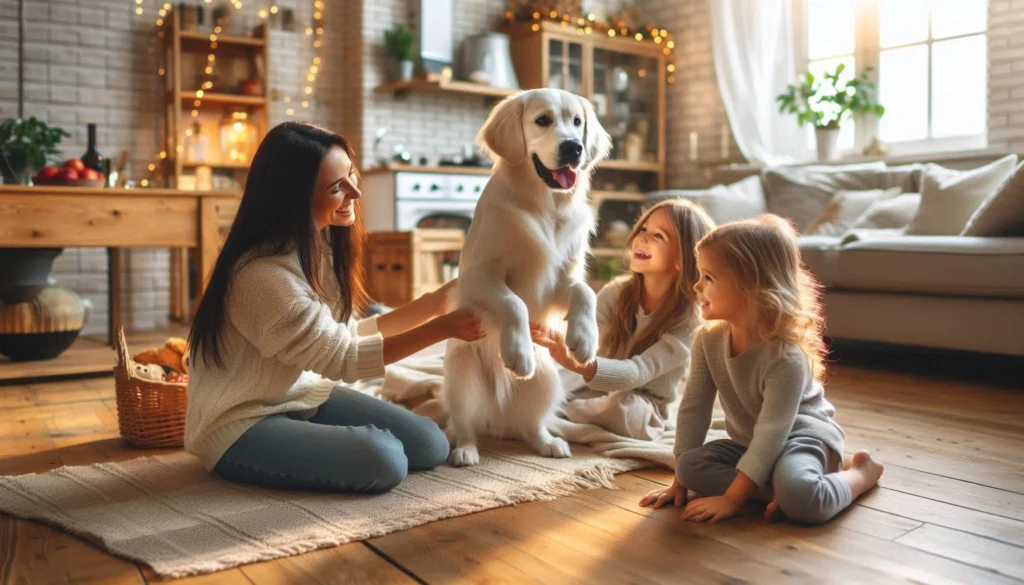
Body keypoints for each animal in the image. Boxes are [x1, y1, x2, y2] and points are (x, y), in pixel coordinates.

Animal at [440, 88, 606, 467]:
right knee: (465, 424)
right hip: (462, 374)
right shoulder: (478, 276)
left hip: (546, 381)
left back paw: (549, 443)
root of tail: (498, 420)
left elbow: (584, 290)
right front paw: (518, 351)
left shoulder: (559, 282)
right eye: (542, 120)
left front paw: (584, 339)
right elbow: (513, 302)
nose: (574, 148)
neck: (545, 205)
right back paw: (466, 451)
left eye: (577, 121)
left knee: (532, 425)